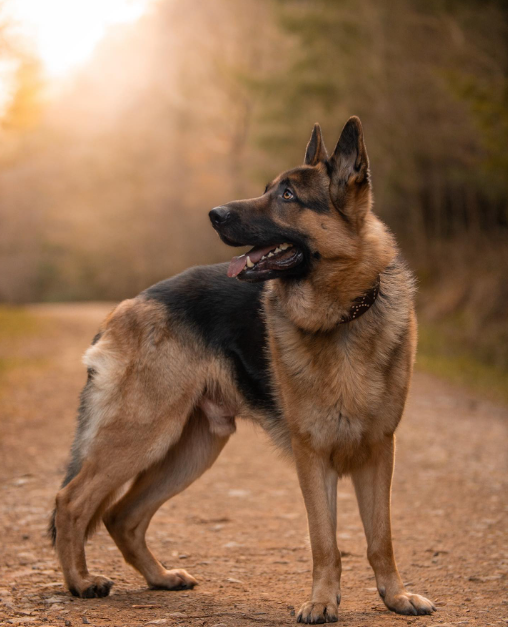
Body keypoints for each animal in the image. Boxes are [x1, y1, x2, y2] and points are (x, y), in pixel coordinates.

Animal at [49, 116, 434, 624]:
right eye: (268, 189)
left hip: (193, 448)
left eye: (287, 195)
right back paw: (80, 582)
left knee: (121, 515)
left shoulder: (378, 452)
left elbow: (380, 539)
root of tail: (130, 304)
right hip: (142, 433)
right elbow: (325, 541)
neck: (340, 317)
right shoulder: (313, 457)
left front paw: (395, 597)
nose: (213, 214)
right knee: (72, 501)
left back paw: (159, 577)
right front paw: (321, 601)